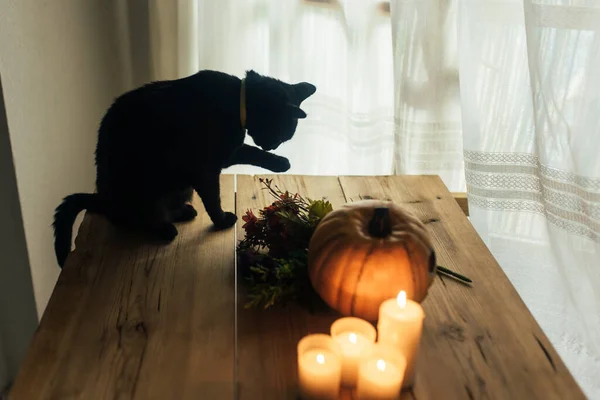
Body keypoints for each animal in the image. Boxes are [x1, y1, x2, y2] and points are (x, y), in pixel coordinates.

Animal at [52, 70, 316, 268]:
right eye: (282, 134)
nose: (273, 146)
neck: (236, 101)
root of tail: (104, 201)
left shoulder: (227, 153)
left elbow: (251, 152)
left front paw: (280, 162)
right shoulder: (206, 169)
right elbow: (214, 199)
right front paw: (222, 220)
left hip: (180, 187)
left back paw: (184, 212)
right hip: (145, 190)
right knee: (139, 218)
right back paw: (164, 228)